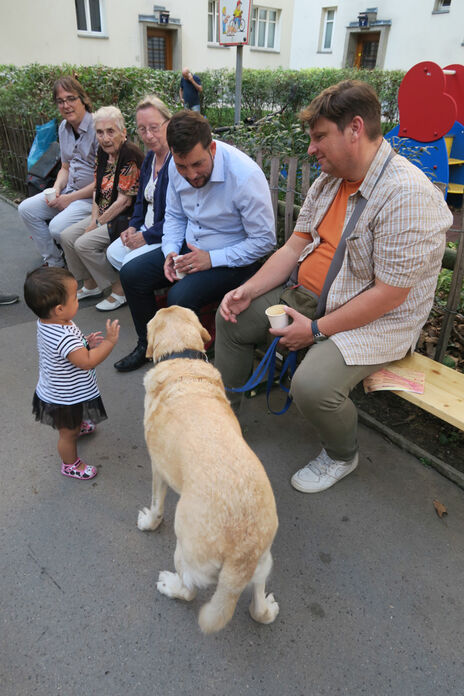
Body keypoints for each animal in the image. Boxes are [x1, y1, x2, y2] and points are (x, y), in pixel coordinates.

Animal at [136, 308, 278, 632]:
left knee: (189, 591)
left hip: (184, 550)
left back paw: (170, 586)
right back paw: (268, 608)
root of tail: (242, 552)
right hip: (264, 562)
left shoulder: (157, 467)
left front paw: (148, 522)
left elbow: (156, 505)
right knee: (258, 608)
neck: (181, 359)